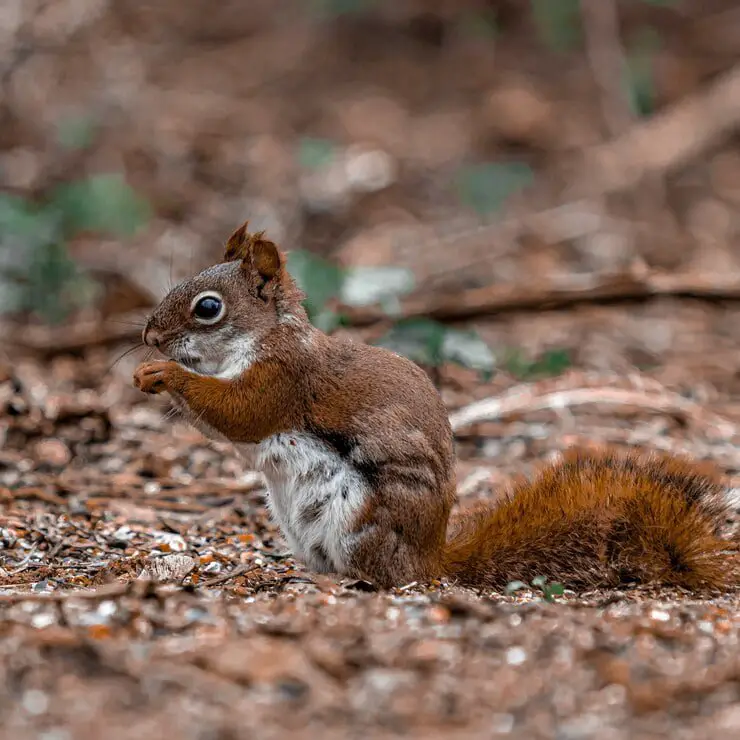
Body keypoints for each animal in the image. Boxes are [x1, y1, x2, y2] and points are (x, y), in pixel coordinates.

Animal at [133, 223, 740, 592]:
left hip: (360, 521)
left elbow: (239, 411)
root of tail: (430, 561)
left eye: (208, 308)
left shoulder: (283, 380)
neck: (266, 335)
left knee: (384, 577)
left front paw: (165, 374)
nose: (150, 337)